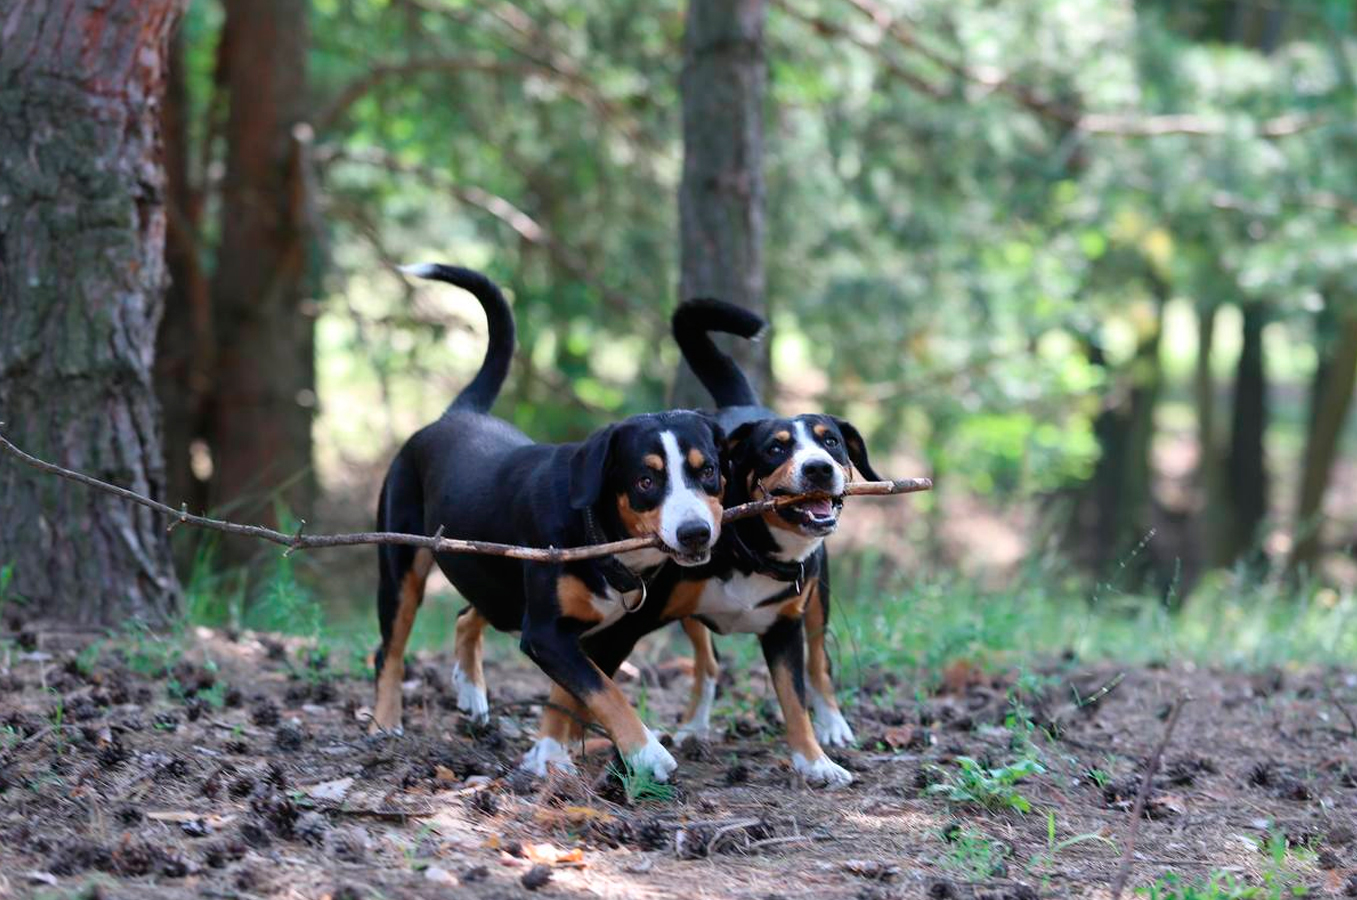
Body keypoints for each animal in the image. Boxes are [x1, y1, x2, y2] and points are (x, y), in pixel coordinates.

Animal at [371, 264, 727, 787]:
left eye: (708, 471)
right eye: (646, 480)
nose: (695, 532)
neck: (598, 533)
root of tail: (456, 415)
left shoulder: (591, 633)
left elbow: (577, 690)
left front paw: (551, 751)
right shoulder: (544, 632)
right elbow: (603, 690)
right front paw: (647, 753)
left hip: (497, 580)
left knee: (467, 615)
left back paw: (471, 691)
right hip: (402, 571)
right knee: (390, 652)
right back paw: (385, 722)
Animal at [667, 298, 879, 771]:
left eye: (831, 442)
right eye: (776, 448)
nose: (818, 468)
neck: (755, 551)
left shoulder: (786, 628)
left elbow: (795, 698)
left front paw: (815, 763)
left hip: (818, 599)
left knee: (819, 665)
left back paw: (833, 724)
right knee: (707, 663)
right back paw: (693, 726)